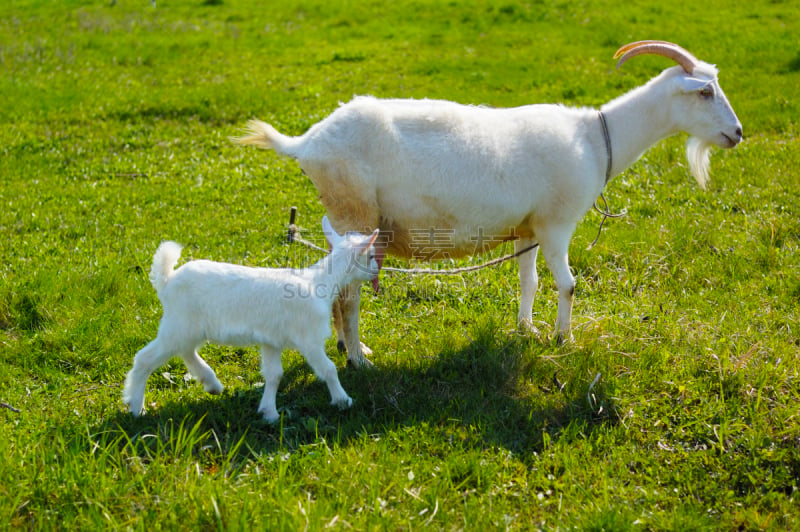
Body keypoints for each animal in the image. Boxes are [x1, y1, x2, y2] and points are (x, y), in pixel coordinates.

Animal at [236, 41, 744, 368]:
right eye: (704, 92)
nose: (737, 133)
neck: (596, 139)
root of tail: (307, 142)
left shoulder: (528, 230)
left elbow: (530, 282)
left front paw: (528, 331)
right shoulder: (557, 225)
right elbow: (569, 285)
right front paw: (564, 339)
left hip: (344, 216)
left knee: (338, 290)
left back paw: (346, 348)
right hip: (355, 212)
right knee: (351, 294)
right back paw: (360, 359)